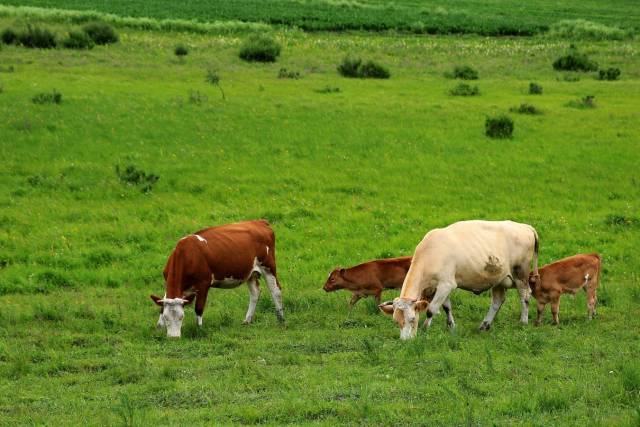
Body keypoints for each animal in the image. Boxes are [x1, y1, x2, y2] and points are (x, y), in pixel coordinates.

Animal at [151, 221, 284, 338]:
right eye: (166, 317)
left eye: (181, 317)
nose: (174, 337)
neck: (186, 255)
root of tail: (260, 222)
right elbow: (162, 305)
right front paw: (159, 327)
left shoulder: (203, 284)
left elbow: (199, 308)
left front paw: (199, 329)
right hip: (250, 273)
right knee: (255, 292)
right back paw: (247, 320)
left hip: (268, 266)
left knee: (276, 290)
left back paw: (281, 319)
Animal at [380, 221, 540, 342]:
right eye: (396, 321)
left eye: (412, 319)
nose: (405, 341)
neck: (430, 254)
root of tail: (525, 226)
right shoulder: (440, 287)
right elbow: (446, 307)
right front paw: (451, 326)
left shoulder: (446, 284)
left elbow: (431, 309)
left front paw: (425, 329)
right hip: (499, 279)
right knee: (497, 301)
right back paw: (484, 325)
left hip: (520, 274)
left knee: (525, 296)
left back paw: (523, 321)